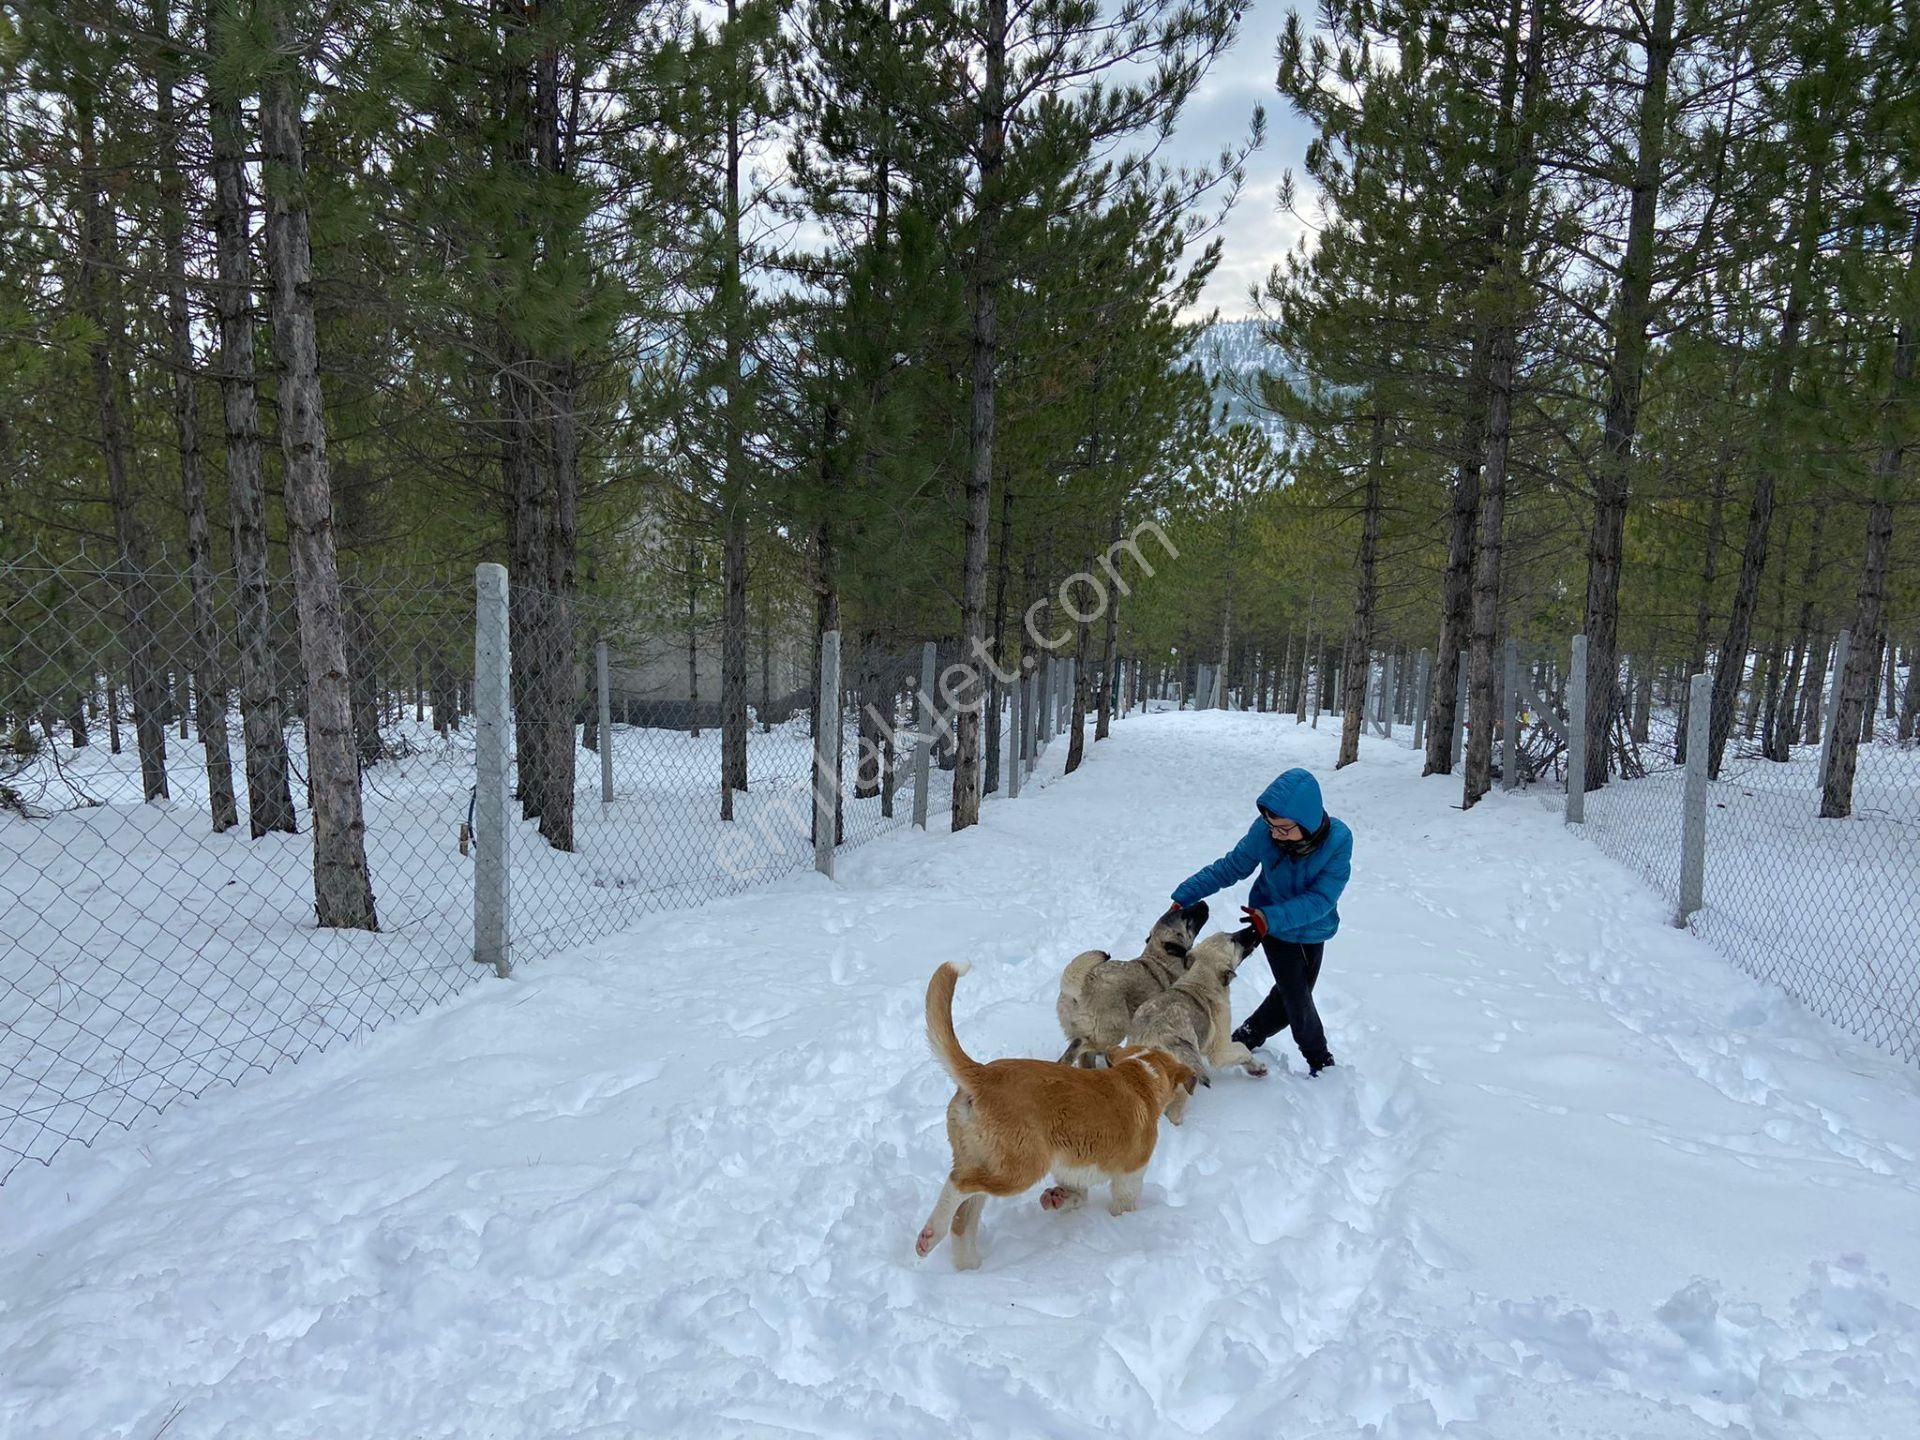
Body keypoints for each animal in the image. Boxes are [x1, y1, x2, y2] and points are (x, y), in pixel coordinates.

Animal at [917, 963, 1198, 1267]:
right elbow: (1125, 1204)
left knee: (963, 1221)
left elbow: (1078, 1196)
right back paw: (932, 1232)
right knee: (958, 1184)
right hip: (1020, 1168)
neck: (1139, 1075)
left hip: (978, 1157)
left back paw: (965, 1265)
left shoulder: (1072, 1170)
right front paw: (1126, 1223)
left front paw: (1058, 1199)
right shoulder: (1130, 1175)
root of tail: (981, 1074)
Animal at [1059, 902, 1205, 1075]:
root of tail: (1082, 986)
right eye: (1186, 918)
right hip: (1111, 1032)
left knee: (1083, 1057)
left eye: (1183, 911)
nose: (1203, 903)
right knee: (1081, 1044)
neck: (1160, 957)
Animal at [1121, 925, 1274, 1128]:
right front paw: (1256, 1067)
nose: (1253, 929)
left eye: (1229, 934)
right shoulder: (1220, 1050)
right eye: (1233, 940)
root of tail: (1153, 1037)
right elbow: (1243, 1049)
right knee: (1173, 1111)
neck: (1201, 980)